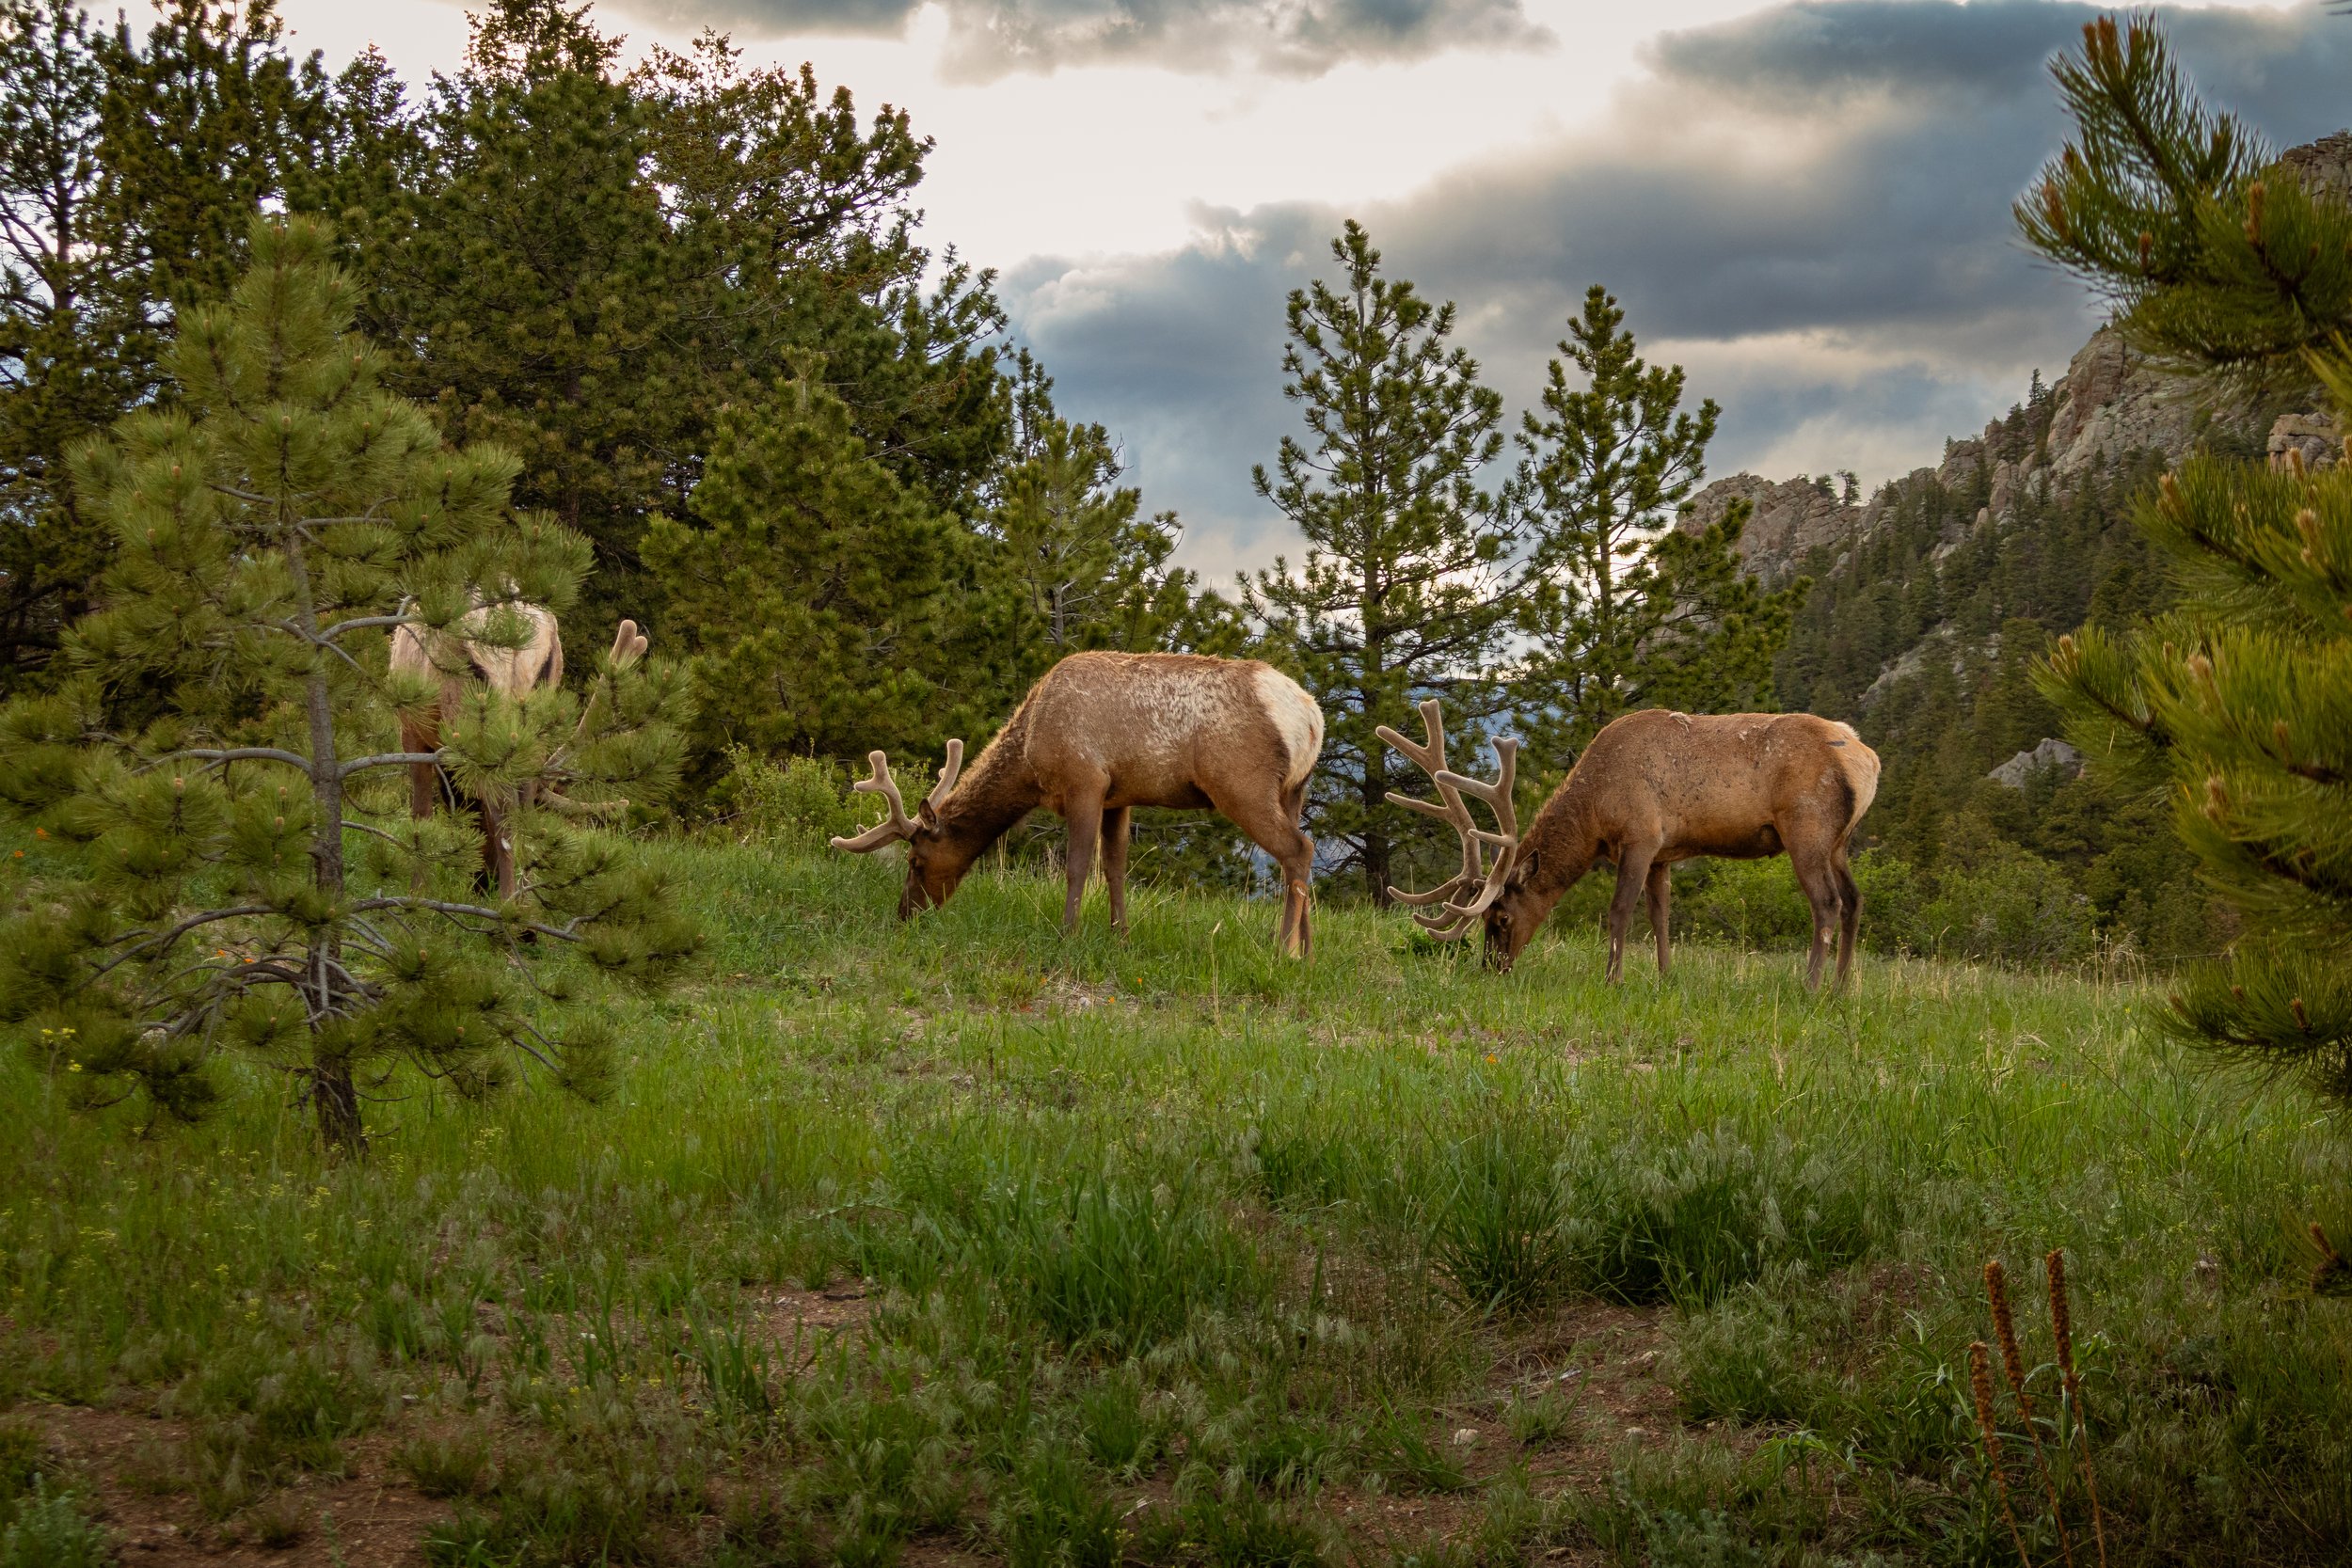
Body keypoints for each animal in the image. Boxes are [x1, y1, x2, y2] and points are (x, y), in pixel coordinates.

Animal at [389, 598, 650, 900]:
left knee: (502, 807)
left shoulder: (411, 728)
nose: (483, 882)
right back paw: (525, 900)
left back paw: (508, 902)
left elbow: (421, 811)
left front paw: (416, 892)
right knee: (523, 805)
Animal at [830, 650, 1325, 954]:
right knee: (1302, 854)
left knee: (1297, 849)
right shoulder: (1119, 795)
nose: (904, 914)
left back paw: (1284, 950)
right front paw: (1120, 936)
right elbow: (1115, 866)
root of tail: (1312, 717)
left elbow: (1078, 864)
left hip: (1242, 784)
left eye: (916, 861)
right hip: (1292, 791)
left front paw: (1067, 934)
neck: (1030, 755)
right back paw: (1308, 951)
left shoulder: (1084, 780)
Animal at [1381, 701, 1880, 989]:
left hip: (1807, 827)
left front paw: (1612, 980)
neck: (1595, 812)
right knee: (1856, 899)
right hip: (1840, 841)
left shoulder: (1640, 837)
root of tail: (1866, 758)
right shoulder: (1664, 853)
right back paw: (1841, 987)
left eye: (1500, 917)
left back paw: (1811, 987)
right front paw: (1664, 978)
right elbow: (1661, 917)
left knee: (1827, 902)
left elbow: (1619, 911)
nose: (1491, 967)